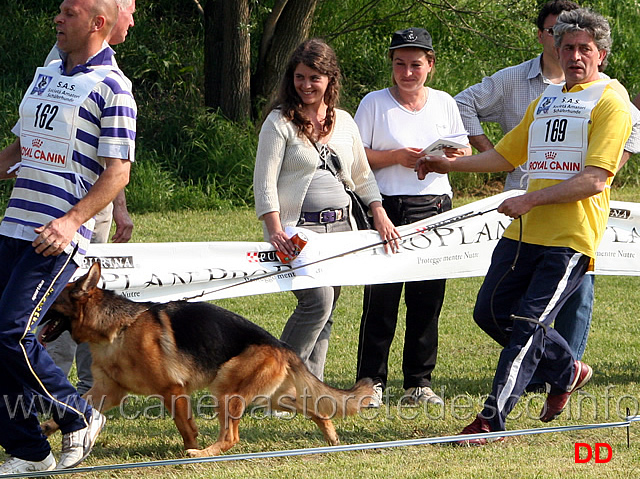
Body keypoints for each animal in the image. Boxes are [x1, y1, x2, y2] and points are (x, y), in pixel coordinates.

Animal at [40, 262, 372, 458]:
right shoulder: (107, 391)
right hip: (271, 397)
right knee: (316, 409)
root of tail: (280, 345)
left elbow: (185, 426)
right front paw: (45, 428)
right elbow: (70, 407)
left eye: (51, 300)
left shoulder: (172, 390)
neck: (118, 329)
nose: (30, 315)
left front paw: (191, 449)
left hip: (226, 390)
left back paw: (204, 453)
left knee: (232, 437)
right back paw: (331, 437)